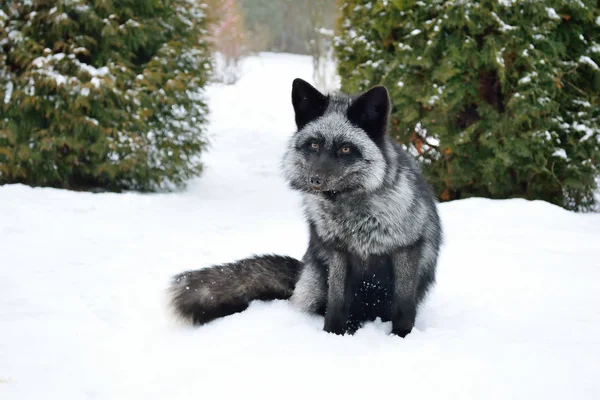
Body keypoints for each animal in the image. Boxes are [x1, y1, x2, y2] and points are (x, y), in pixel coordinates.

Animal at [169, 78, 440, 338]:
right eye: (313, 145)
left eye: (345, 148)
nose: (315, 180)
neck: (354, 215)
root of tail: (300, 274)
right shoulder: (338, 253)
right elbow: (337, 302)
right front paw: (333, 335)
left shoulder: (405, 250)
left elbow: (403, 305)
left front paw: (401, 337)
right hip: (316, 279)